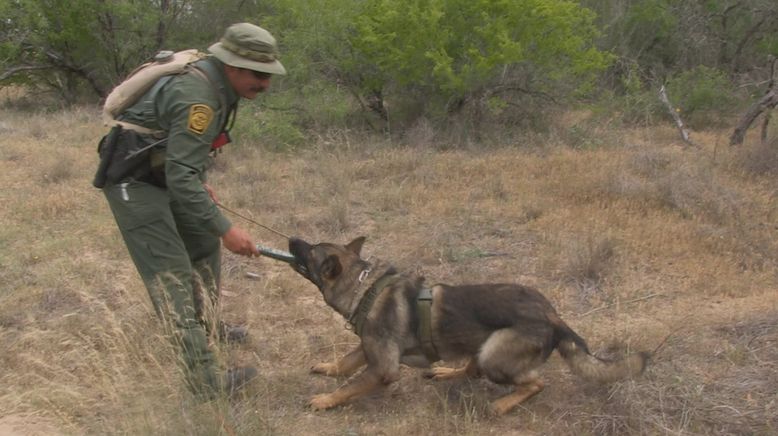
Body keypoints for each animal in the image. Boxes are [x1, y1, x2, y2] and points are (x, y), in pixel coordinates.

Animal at [288, 237, 644, 414]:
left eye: (311, 250)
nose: (291, 237)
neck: (363, 287)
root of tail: (553, 316)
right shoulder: (368, 347)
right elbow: (345, 364)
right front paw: (329, 368)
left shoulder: (382, 369)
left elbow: (349, 386)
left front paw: (325, 400)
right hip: (480, 345)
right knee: (471, 370)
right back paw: (446, 372)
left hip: (494, 355)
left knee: (535, 383)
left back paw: (501, 406)